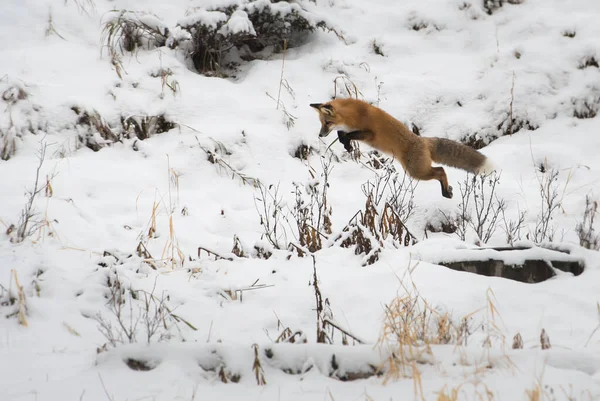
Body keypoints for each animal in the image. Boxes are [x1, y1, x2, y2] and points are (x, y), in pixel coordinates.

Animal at [312, 98, 494, 198]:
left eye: (327, 123)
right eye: (321, 123)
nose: (320, 135)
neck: (355, 114)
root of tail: (423, 141)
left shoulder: (370, 134)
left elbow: (348, 135)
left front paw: (347, 143)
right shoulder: (348, 129)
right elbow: (341, 135)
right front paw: (347, 146)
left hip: (416, 171)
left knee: (441, 170)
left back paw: (445, 192)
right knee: (441, 170)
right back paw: (447, 191)